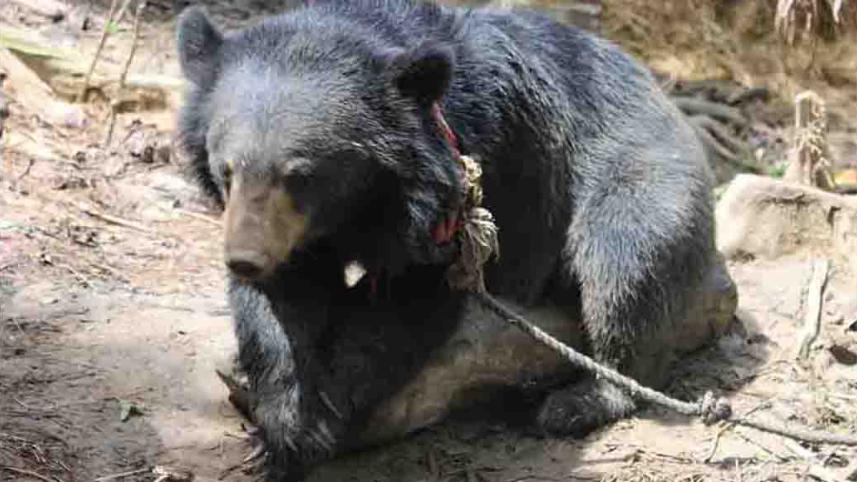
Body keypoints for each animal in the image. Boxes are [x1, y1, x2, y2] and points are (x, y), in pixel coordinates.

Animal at [175, 0, 716, 480]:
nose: (244, 260)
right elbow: (284, 307)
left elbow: (408, 300)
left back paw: (580, 401)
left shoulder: (456, 188)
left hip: (639, 179)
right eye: (226, 170)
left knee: (623, 267)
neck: (362, 202)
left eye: (300, 176)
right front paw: (280, 430)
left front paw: (321, 423)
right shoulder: (293, 235)